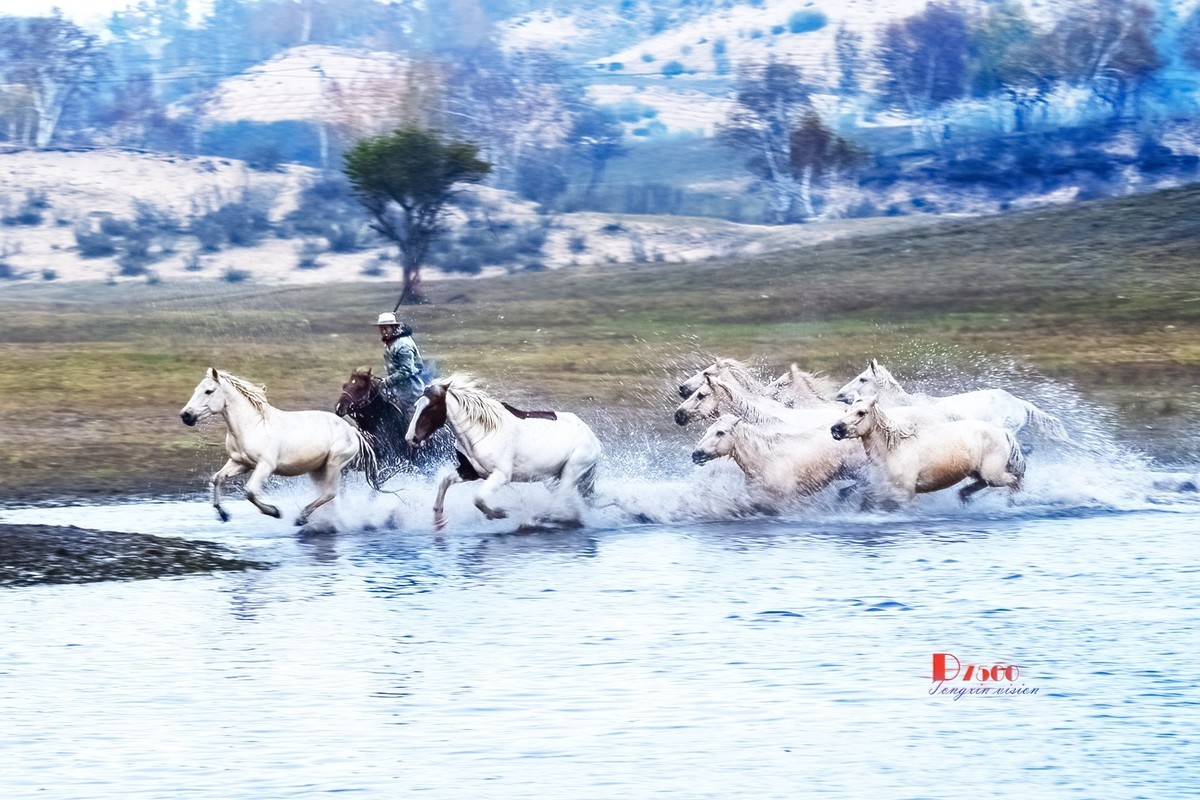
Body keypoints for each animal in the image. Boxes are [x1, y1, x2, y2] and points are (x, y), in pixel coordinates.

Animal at [180, 367, 378, 525]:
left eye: (208, 391)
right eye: (196, 389)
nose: (185, 415)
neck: (252, 426)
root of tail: (352, 430)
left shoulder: (265, 466)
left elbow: (250, 492)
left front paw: (274, 512)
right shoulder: (240, 463)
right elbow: (217, 478)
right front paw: (223, 514)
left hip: (334, 464)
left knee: (330, 493)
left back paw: (301, 518)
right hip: (317, 469)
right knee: (328, 496)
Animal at [405, 374, 603, 529]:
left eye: (430, 407)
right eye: (417, 405)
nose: (410, 438)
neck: (483, 432)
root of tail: (593, 438)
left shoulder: (501, 475)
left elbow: (478, 499)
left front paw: (500, 513)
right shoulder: (471, 471)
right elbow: (444, 482)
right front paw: (438, 519)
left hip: (572, 472)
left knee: (561, 501)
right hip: (554, 478)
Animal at [830, 395, 1025, 508]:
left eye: (861, 413)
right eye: (846, 410)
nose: (835, 429)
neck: (893, 450)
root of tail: (1002, 432)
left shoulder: (903, 494)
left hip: (993, 475)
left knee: (1014, 481)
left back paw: (1013, 505)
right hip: (978, 473)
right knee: (975, 488)